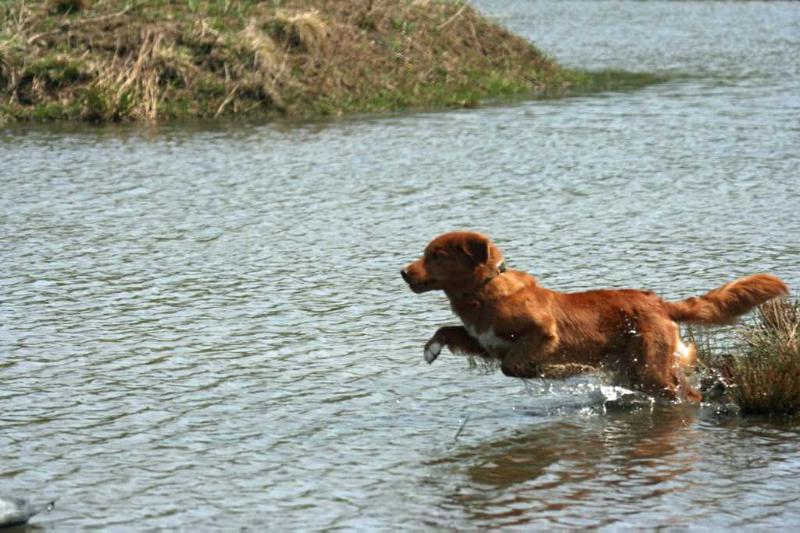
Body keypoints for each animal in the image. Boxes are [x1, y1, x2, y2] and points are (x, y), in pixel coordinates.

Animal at [400, 231, 788, 402]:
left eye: (436, 256)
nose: (403, 272)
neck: (483, 293)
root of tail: (659, 302)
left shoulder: (544, 332)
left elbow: (513, 365)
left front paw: (554, 370)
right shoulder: (483, 341)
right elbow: (449, 329)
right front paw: (431, 349)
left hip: (651, 371)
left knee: (687, 394)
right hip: (640, 368)